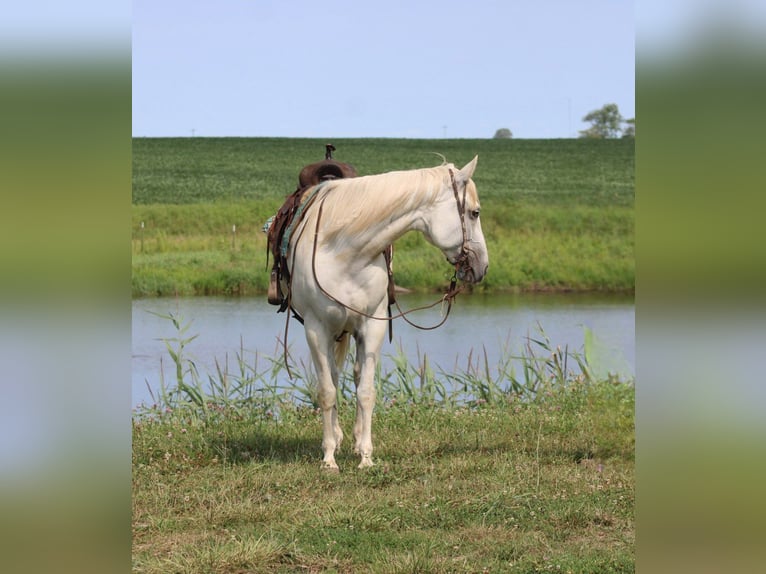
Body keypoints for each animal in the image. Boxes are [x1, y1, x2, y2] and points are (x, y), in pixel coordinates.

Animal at [283, 156, 489, 470]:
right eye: (474, 213)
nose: (482, 267)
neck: (343, 249)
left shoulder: (373, 326)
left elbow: (366, 392)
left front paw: (366, 456)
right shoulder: (316, 329)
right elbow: (327, 392)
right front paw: (329, 459)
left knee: (354, 375)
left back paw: (354, 440)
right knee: (333, 376)